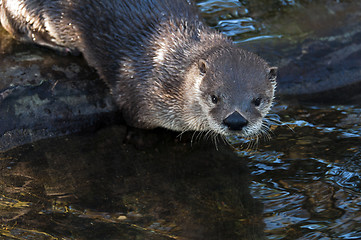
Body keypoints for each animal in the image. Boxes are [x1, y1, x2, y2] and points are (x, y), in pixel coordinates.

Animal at [0, 0, 278, 138]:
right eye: (214, 97)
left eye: (258, 100)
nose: (235, 121)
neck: (169, 75)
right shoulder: (137, 100)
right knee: (15, 25)